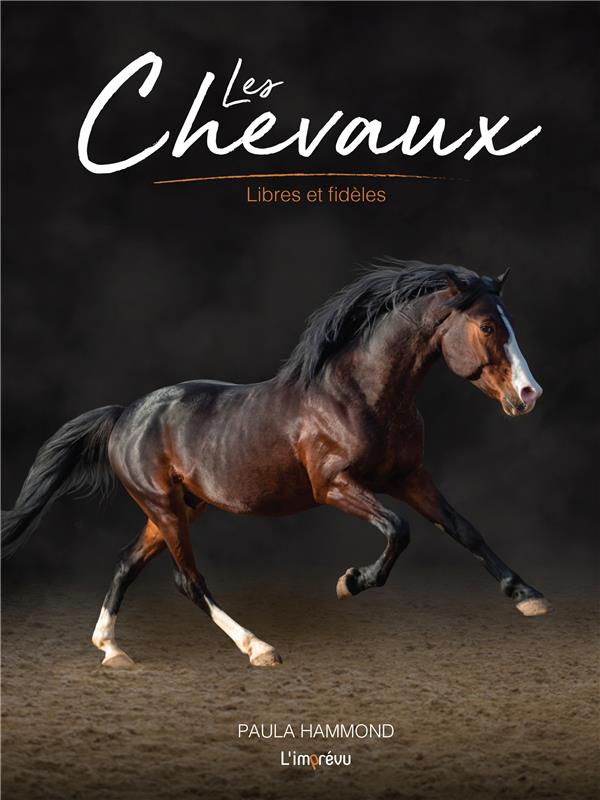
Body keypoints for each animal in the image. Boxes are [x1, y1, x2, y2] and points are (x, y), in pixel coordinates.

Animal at [1, 259, 548, 669]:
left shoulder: (409, 477)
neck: (361, 395)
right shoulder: (334, 486)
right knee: (188, 581)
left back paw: (112, 649)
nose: (529, 395)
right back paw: (258, 647)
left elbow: (463, 529)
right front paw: (351, 582)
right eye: (487, 325)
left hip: (179, 507)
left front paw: (527, 595)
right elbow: (399, 529)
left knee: (125, 562)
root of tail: (123, 415)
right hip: (165, 508)